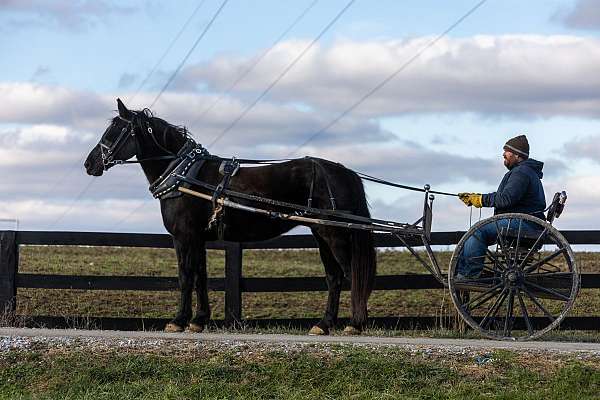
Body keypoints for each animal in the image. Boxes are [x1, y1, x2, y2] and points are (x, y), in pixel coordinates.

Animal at [85, 99, 376, 334]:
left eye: (114, 131)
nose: (90, 164)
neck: (185, 175)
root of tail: (343, 172)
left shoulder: (184, 236)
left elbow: (185, 276)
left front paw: (178, 321)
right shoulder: (199, 239)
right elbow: (200, 276)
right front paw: (199, 320)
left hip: (334, 234)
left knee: (351, 274)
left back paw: (355, 324)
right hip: (321, 233)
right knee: (334, 278)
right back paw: (324, 324)